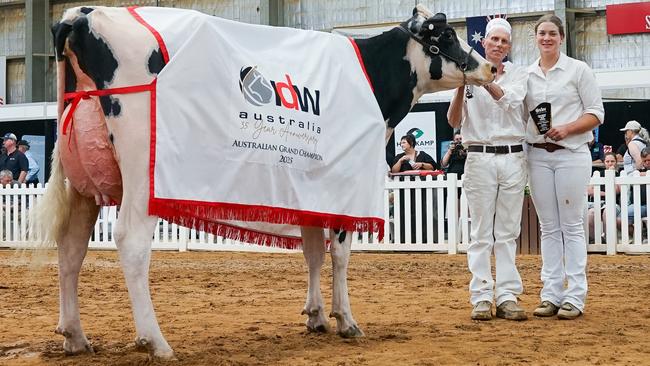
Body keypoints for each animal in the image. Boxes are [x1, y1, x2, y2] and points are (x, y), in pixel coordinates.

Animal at [35, 2, 492, 360]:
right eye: (446, 36)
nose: (489, 65)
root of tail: (80, 15)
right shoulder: (346, 182)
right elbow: (341, 254)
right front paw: (346, 320)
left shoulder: (312, 184)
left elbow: (313, 252)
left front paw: (316, 316)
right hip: (141, 174)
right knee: (129, 241)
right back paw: (155, 341)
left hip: (81, 183)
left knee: (70, 248)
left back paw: (75, 336)